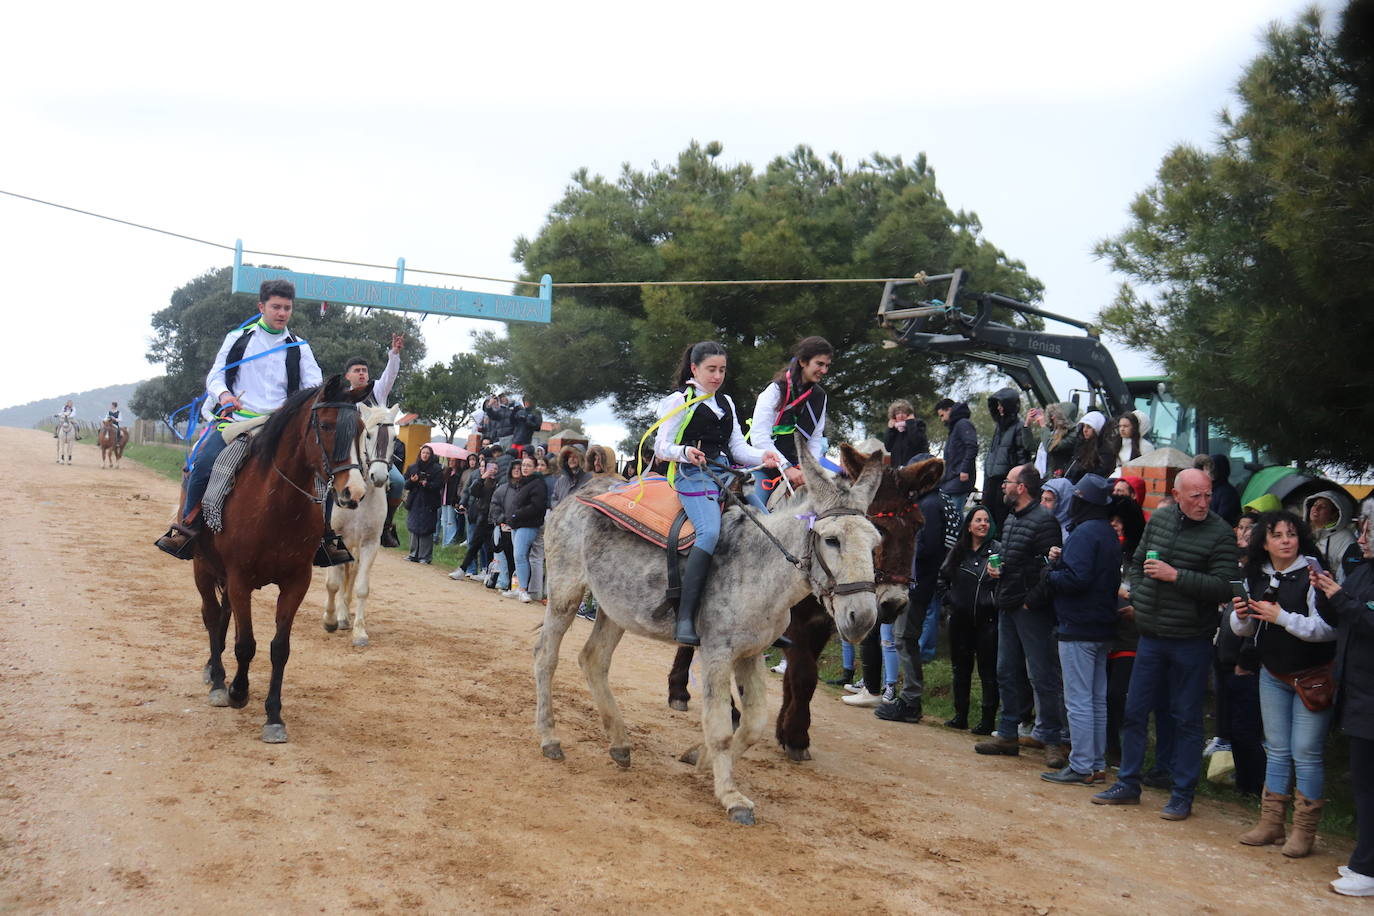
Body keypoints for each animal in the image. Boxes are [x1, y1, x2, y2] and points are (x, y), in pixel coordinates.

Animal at [190, 379, 370, 747]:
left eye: (360, 430)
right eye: (326, 426)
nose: (354, 493)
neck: (275, 505)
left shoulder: (295, 583)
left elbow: (279, 649)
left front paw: (273, 716)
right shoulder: (240, 579)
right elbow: (246, 644)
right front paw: (237, 691)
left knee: (223, 617)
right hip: (203, 568)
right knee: (212, 616)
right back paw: (218, 679)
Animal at [324, 403, 401, 648]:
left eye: (395, 438)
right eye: (368, 435)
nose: (379, 476)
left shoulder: (369, 544)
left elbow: (361, 587)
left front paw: (359, 632)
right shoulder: (335, 540)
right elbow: (333, 583)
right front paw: (329, 620)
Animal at [667, 450, 945, 758]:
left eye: (919, 526)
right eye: (880, 528)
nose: (894, 604)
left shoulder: (822, 625)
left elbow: (796, 678)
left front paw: (785, 728)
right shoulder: (795, 624)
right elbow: (804, 675)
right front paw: (797, 735)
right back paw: (684, 692)